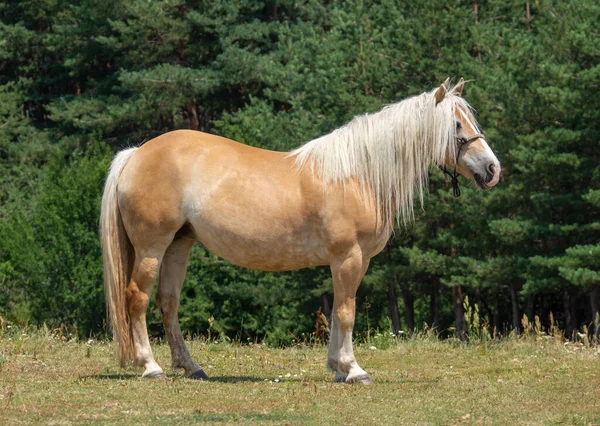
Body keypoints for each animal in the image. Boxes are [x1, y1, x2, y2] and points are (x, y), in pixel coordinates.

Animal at [99, 78, 502, 384]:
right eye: (456, 125)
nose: (493, 169)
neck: (358, 175)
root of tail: (135, 154)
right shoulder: (348, 256)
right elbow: (347, 312)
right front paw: (354, 369)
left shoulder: (355, 262)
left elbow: (339, 309)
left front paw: (337, 368)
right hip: (152, 246)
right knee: (137, 298)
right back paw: (150, 366)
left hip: (179, 245)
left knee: (168, 302)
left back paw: (191, 366)